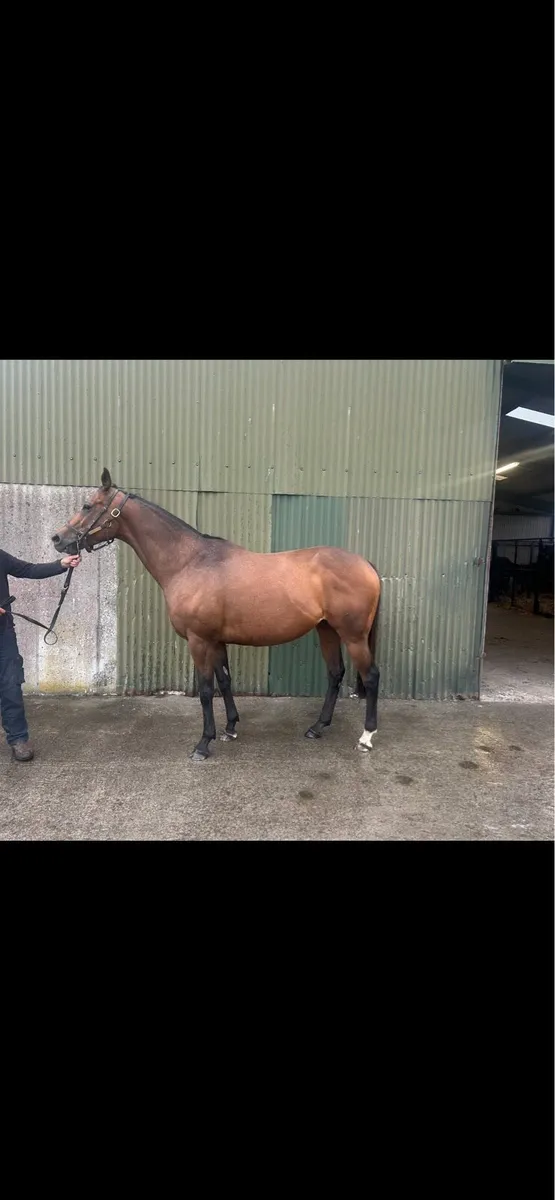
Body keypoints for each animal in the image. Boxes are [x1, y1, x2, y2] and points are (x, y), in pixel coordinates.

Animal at [52, 469, 381, 762]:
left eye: (87, 505)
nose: (58, 539)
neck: (189, 562)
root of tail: (365, 563)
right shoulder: (217, 640)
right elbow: (224, 681)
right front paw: (230, 728)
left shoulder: (199, 640)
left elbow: (206, 689)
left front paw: (203, 743)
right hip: (327, 629)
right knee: (335, 673)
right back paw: (317, 727)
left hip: (353, 636)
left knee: (371, 676)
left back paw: (366, 737)